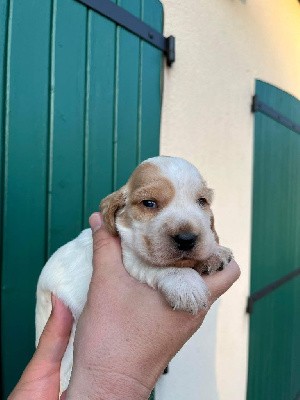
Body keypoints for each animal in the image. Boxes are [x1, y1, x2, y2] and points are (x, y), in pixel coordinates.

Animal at [35, 155, 232, 390]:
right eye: (149, 203)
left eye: (202, 201)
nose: (186, 238)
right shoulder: (128, 258)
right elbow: (153, 265)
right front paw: (186, 284)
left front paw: (214, 254)